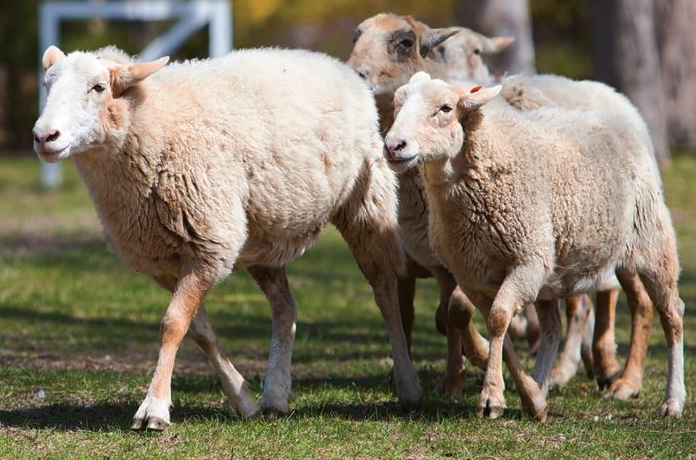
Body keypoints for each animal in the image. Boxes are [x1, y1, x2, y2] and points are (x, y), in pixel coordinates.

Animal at [32, 45, 422, 430]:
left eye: (98, 88)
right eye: (47, 84)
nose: (44, 137)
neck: (155, 122)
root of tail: (332, 62)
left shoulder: (208, 243)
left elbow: (172, 324)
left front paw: (154, 408)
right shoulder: (165, 262)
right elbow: (197, 330)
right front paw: (242, 398)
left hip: (367, 203)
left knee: (386, 294)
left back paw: (407, 386)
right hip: (264, 234)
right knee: (285, 307)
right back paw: (275, 396)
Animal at [386, 70, 684, 418]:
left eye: (445, 109)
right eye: (397, 104)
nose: (393, 146)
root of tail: (619, 114)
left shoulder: (526, 261)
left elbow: (499, 318)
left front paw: (491, 396)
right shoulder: (474, 277)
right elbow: (498, 327)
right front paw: (529, 396)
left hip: (651, 240)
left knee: (671, 314)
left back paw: (672, 399)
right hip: (552, 271)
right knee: (553, 327)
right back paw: (540, 386)